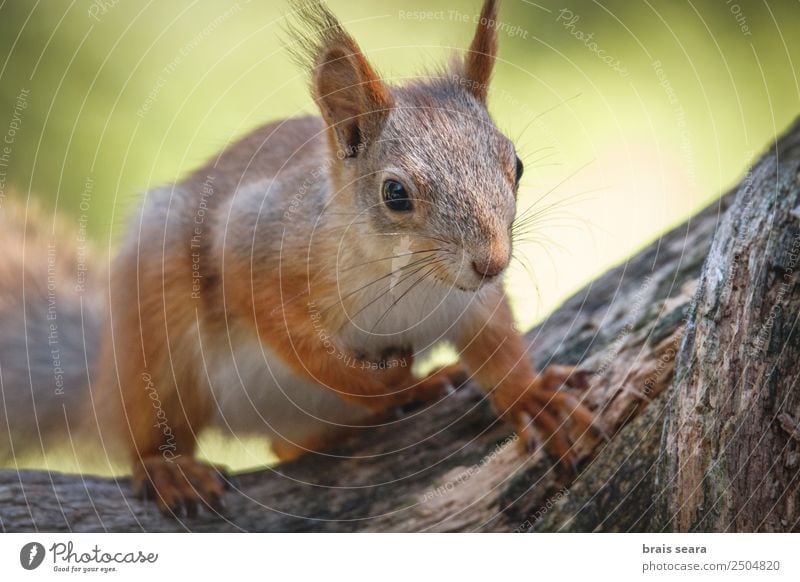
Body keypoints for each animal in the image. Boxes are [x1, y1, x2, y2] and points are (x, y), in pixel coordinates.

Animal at [0, 1, 596, 520]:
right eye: (395, 193)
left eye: (516, 164)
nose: (491, 262)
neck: (403, 276)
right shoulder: (254, 245)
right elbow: (296, 340)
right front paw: (387, 384)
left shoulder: (468, 303)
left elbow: (498, 347)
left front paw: (534, 397)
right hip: (157, 333)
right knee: (146, 432)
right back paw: (169, 468)